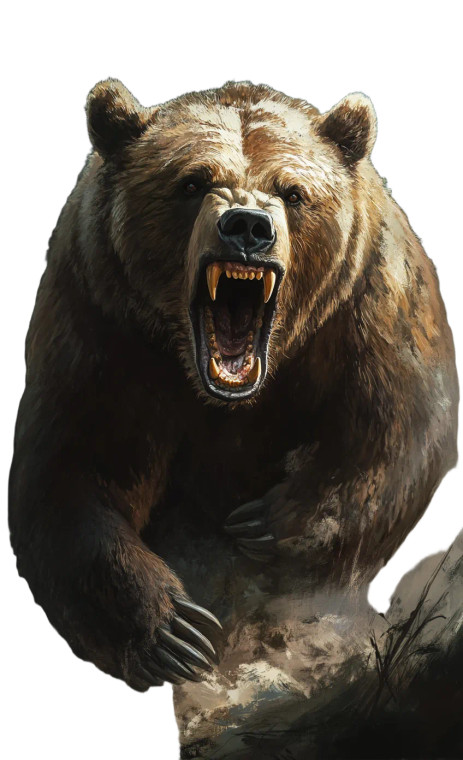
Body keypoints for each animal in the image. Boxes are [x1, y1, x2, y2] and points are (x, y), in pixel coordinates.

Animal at [9, 79, 458, 709]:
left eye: (293, 191)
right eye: (191, 181)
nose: (247, 227)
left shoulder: (368, 302)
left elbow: (400, 431)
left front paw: (267, 525)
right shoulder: (102, 323)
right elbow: (72, 472)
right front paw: (174, 633)